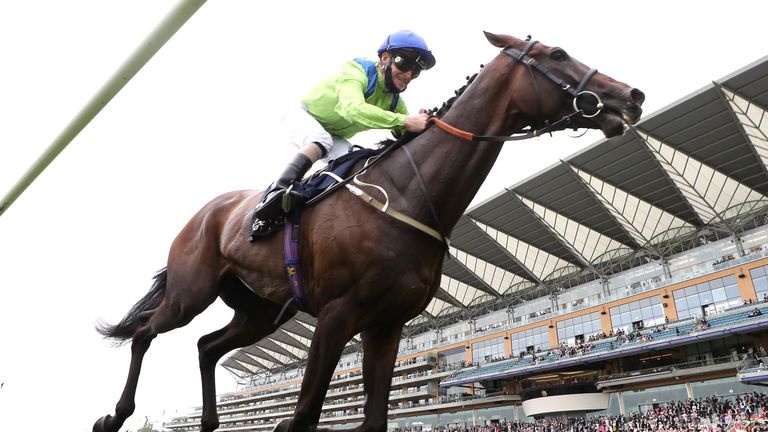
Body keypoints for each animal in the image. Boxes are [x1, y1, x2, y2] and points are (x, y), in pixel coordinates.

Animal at [93, 31, 644, 432]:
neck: (406, 195)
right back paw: (115, 415)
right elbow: (301, 416)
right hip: (192, 291)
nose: (631, 95)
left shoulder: (386, 324)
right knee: (145, 332)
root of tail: (207, 212)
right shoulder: (338, 314)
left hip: (261, 311)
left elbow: (375, 417)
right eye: (558, 53)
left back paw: (207, 423)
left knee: (207, 346)